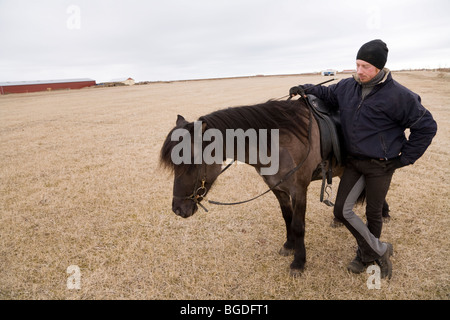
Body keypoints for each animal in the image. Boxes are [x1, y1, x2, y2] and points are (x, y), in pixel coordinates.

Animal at [161, 97, 386, 276]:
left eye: (191, 162)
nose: (177, 209)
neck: (279, 144)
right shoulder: (278, 189)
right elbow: (287, 218)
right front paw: (289, 246)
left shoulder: (299, 191)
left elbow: (298, 225)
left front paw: (298, 262)